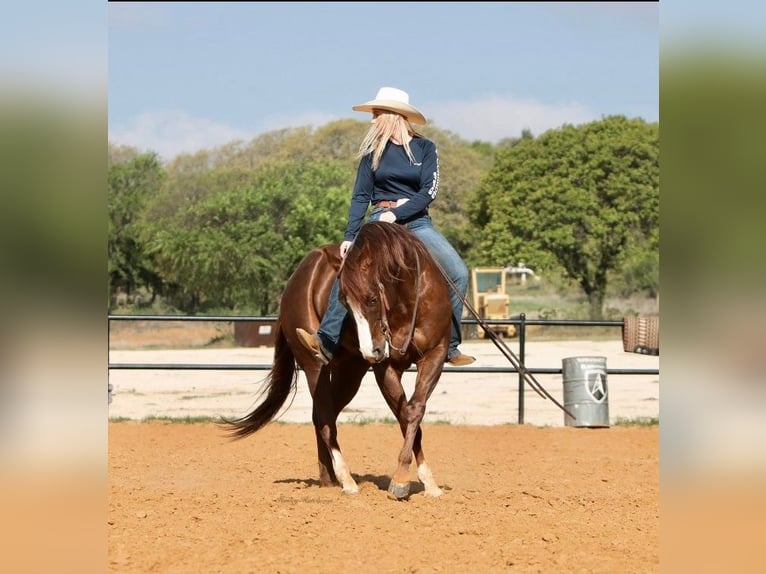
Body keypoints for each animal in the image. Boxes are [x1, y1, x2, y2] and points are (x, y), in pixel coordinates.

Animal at [220, 223, 450, 502]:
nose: (372, 350)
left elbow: (413, 411)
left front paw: (428, 483)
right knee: (326, 417)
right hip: (315, 365)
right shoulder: (385, 368)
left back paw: (327, 477)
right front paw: (401, 480)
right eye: (344, 304)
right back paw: (346, 479)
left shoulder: (436, 354)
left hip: (350, 370)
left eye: (373, 299)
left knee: (321, 415)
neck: (407, 301)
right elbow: (405, 414)